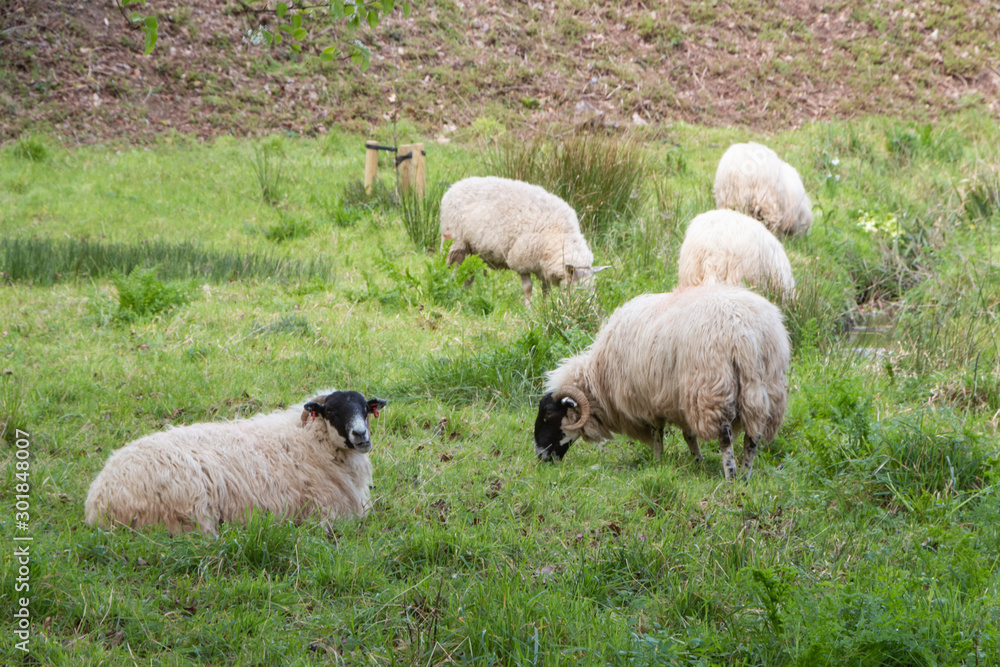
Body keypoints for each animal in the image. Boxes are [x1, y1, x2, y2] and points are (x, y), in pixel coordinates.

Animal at [85, 390, 387, 535]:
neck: (311, 442)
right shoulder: (327, 513)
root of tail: (98, 499)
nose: (361, 435)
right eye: (333, 411)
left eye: (365, 408)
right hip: (189, 510)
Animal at [439, 176, 609, 302]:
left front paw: (546, 307)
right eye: (574, 288)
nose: (584, 308)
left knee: (468, 274)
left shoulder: (543, 264)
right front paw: (530, 309)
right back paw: (450, 289)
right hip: (454, 242)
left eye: (593, 289)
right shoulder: (522, 260)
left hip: (473, 251)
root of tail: (456, 184)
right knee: (452, 270)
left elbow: (546, 289)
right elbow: (528, 288)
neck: (560, 231)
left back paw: (464, 293)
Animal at [534, 284, 790, 479]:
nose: (540, 456)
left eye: (548, 416)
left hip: (712, 386)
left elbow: (658, 433)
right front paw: (697, 461)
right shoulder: (679, 398)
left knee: (725, 437)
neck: (599, 377)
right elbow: (689, 435)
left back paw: (731, 475)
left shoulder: (648, 400)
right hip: (764, 387)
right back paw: (746, 475)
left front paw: (658, 461)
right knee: (753, 436)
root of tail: (746, 331)